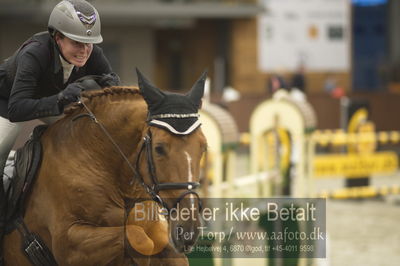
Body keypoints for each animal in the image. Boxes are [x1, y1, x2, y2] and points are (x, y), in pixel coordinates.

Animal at [3, 71, 208, 264]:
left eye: (203, 147)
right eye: (159, 148)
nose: (188, 230)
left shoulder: (161, 237)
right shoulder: (69, 244)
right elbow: (139, 239)